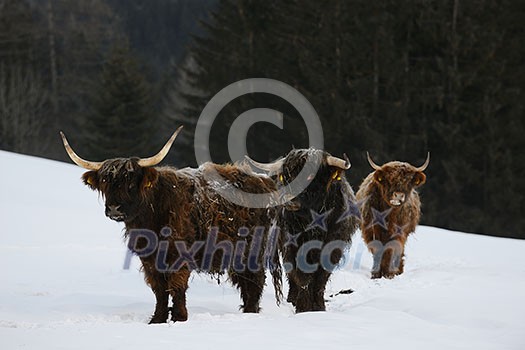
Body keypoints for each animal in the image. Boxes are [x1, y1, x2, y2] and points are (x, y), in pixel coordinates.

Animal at [60, 127, 282, 324]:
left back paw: (250, 314)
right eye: (105, 182)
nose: (114, 208)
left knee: (253, 282)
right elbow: (159, 289)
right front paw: (157, 319)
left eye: (130, 183)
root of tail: (262, 181)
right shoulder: (149, 259)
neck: (151, 217)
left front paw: (179, 318)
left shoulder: (179, 255)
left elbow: (176, 286)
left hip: (251, 250)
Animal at [248, 149, 358, 314]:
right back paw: (292, 299)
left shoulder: (333, 247)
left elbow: (321, 277)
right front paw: (304, 308)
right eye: (286, 176)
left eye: (310, 176)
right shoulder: (292, 245)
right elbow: (302, 276)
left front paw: (318, 306)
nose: (288, 199)